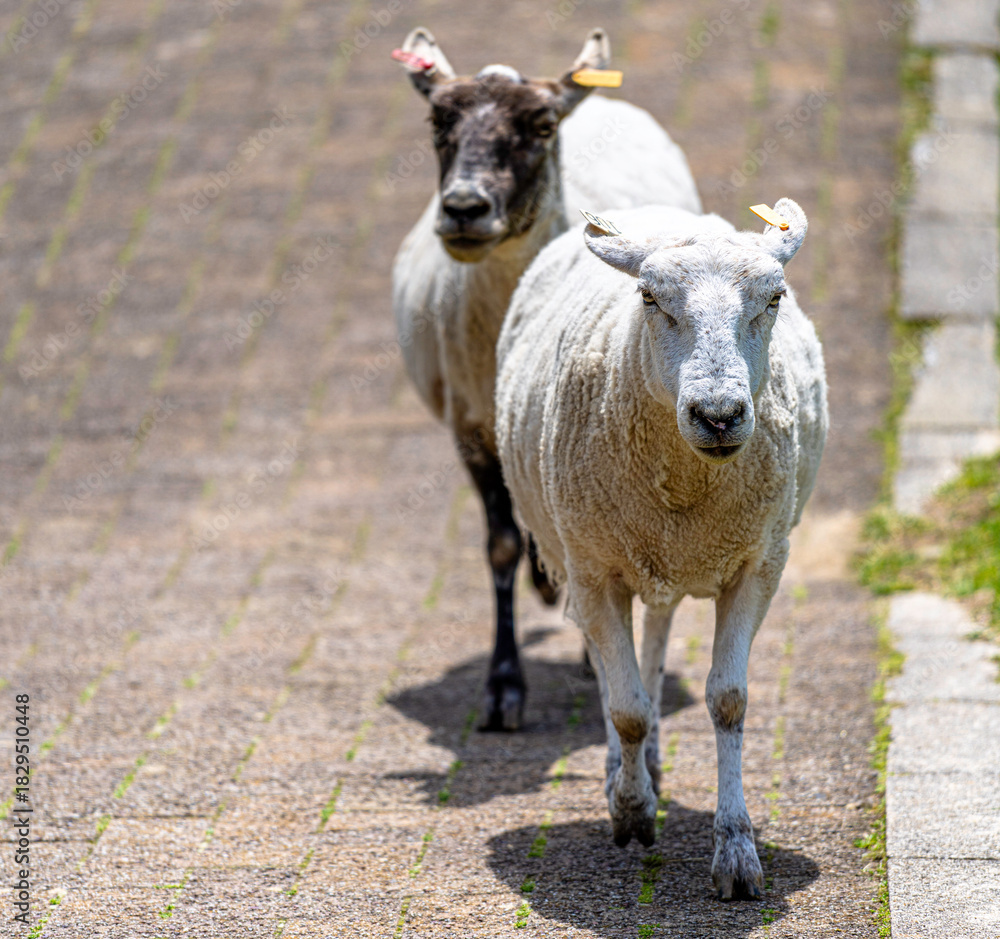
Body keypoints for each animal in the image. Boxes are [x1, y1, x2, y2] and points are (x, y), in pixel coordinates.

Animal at [391, 26, 701, 731]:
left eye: (539, 124)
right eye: (436, 120)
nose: (464, 208)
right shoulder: (471, 427)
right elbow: (502, 546)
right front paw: (503, 689)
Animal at [495, 199, 827, 897]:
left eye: (775, 298)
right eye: (649, 298)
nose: (719, 414)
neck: (684, 486)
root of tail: (651, 210)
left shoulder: (759, 565)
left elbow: (728, 702)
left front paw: (736, 850)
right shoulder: (594, 571)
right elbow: (624, 709)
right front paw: (630, 809)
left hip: (658, 559)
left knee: (657, 632)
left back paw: (646, 761)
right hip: (582, 552)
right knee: (611, 672)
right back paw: (624, 772)